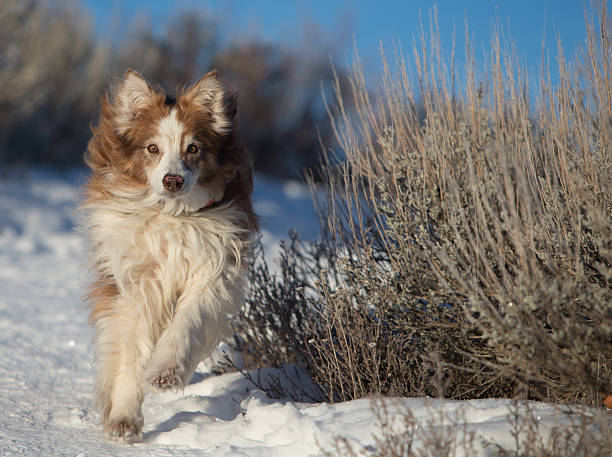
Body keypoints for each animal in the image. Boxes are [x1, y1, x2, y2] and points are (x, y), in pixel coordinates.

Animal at [80, 69, 256, 440]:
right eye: (152, 148)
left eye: (193, 148)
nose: (172, 180)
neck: (175, 214)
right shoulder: (139, 281)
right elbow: (132, 350)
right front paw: (124, 418)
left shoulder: (214, 269)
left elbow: (188, 323)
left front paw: (165, 372)